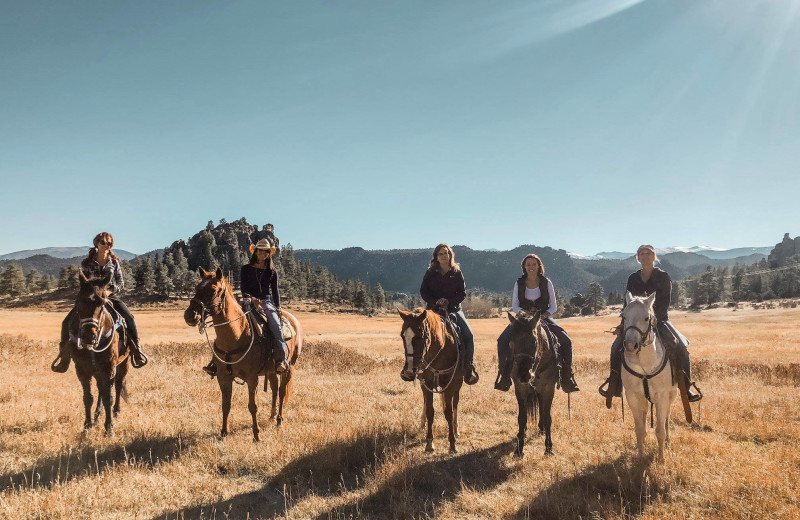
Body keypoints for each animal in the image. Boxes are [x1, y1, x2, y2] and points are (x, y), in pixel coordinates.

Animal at [70, 270, 130, 432]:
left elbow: (108, 397)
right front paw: (87, 425)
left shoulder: (108, 368)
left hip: (123, 364)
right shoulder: (82, 370)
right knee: (101, 390)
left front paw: (109, 428)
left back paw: (116, 411)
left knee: (118, 385)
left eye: (102, 304)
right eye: (78, 303)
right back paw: (97, 413)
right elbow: (88, 397)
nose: (88, 336)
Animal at [184, 266, 304, 440]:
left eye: (213, 289)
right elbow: (226, 405)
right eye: (196, 288)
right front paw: (223, 433)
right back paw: (271, 417)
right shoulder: (223, 377)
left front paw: (256, 435)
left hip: (290, 366)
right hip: (271, 370)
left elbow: (253, 405)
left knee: (282, 392)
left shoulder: (252, 378)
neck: (236, 335)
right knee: (274, 389)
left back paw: (279, 421)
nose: (190, 315)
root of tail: (294, 320)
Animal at [398, 306, 466, 452]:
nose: (408, 372)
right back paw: (422, 423)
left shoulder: (450, 384)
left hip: (458, 383)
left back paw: (456, 429)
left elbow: (448, 411)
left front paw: (452, 443)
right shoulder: (426, 383)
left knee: (455, 403)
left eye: (421, 335)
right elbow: (430, 410)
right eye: (402, 335)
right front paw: (429, 442)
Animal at [510, 308, 560, 456]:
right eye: (512, 342)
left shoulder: (548, 389)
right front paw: (519, 449)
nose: (524, 375)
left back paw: (541, 428)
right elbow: (522, 418)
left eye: (535, 342)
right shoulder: (520, 389)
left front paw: (548, 448)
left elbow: (548, 417)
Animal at [620, 290, 676, 462]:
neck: (644, 365)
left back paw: (668, 439)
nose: (630, 346)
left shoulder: (662, 396)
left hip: (673, 394)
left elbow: (659, 431)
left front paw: (661, 459)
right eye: (624, 316)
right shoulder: (632, 396)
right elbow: (639, 429)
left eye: (646, 318)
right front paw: (640, 456)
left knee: (667, 416)